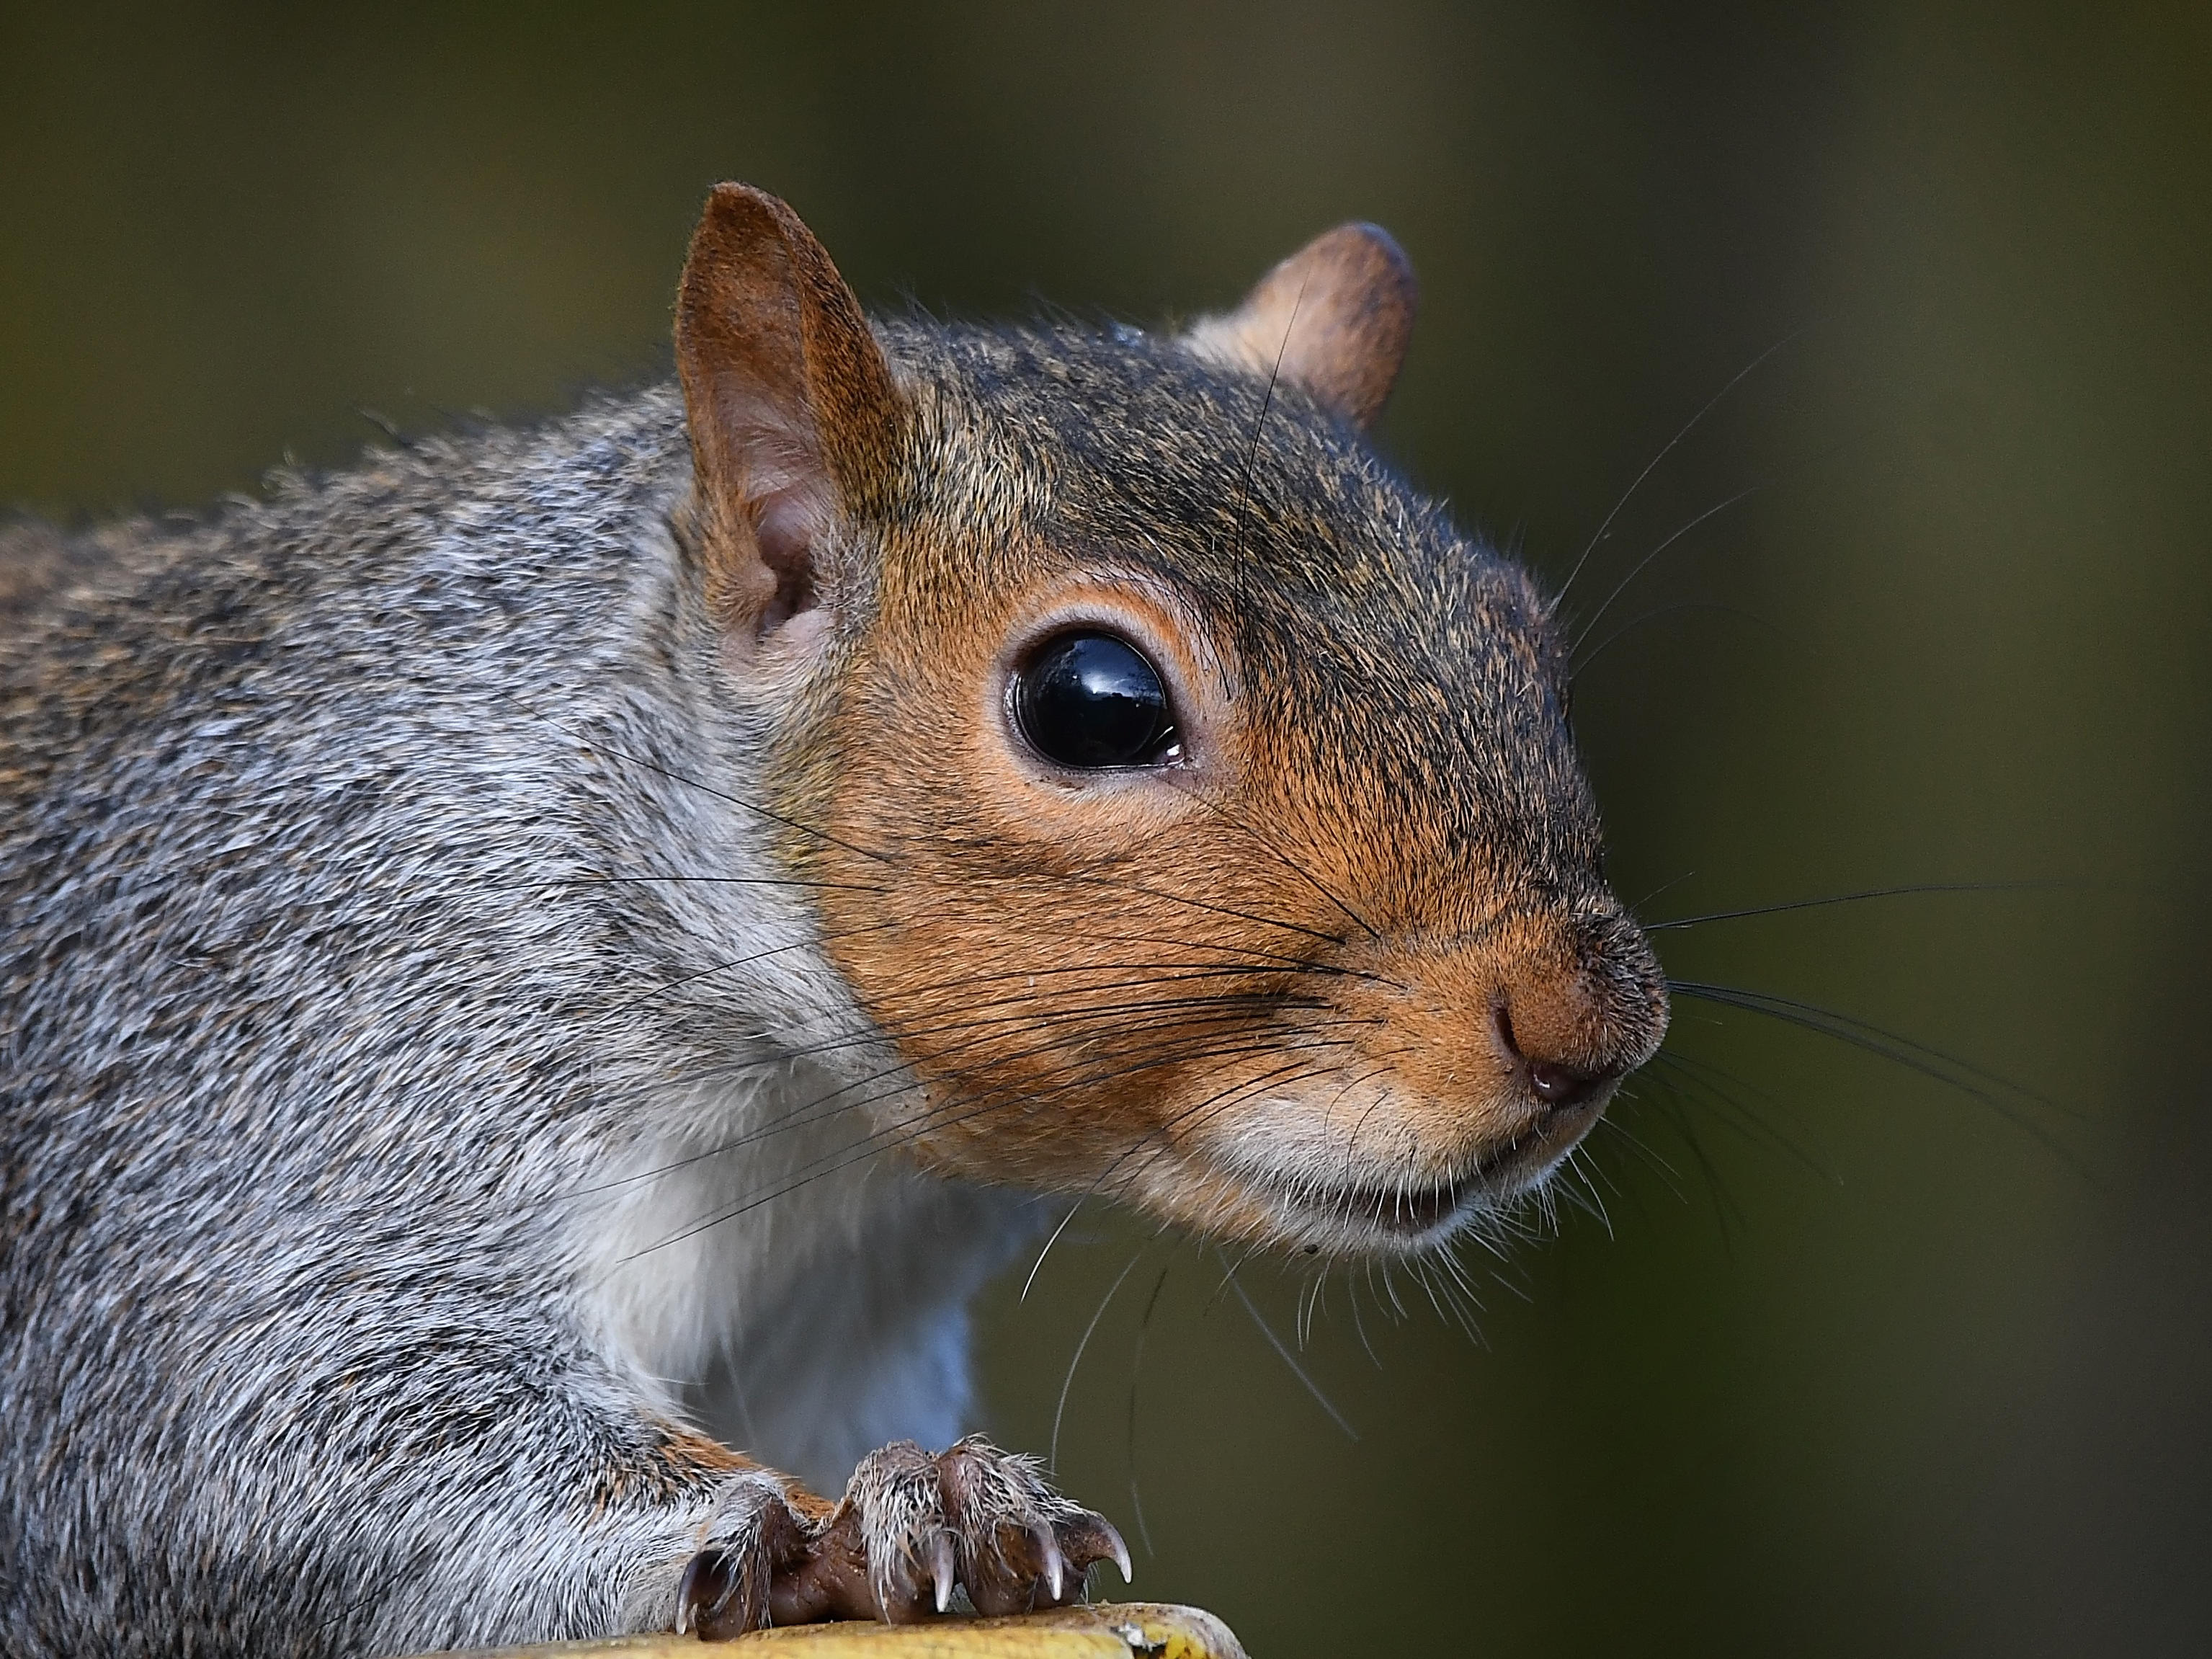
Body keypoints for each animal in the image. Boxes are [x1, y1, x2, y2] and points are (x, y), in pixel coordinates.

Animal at [0, 187, 1663, 1654]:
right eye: (1093, 702)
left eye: (1515, 625)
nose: (1593, 1028)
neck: (825, 1148)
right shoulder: (253, 1076)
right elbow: (261, 1432)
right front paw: (852, 1524)